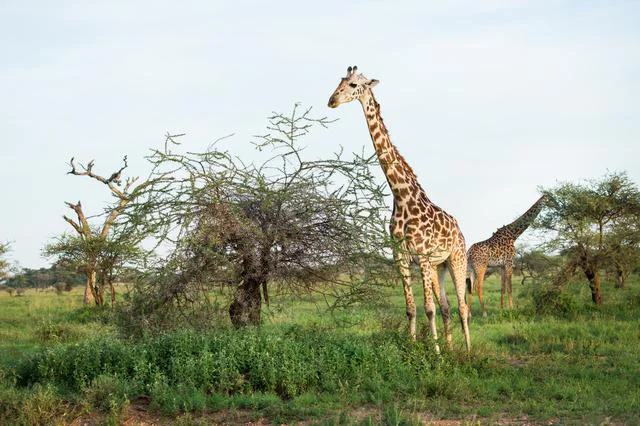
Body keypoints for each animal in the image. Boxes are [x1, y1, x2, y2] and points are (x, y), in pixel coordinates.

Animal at [330, 65, 470, 352]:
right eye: (339, 81)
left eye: (353, 85)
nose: (332, 100)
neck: (402, 196)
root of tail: (460, 230)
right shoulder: (401, 257)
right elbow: (411, 308)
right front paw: (415, 347)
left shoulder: (423, 256)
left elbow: (428, 308)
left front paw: (434, 355)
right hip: (439, 266)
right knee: (447, 306)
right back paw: (452, 349)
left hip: (456, 259)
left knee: (462, 306)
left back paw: (468, 350)